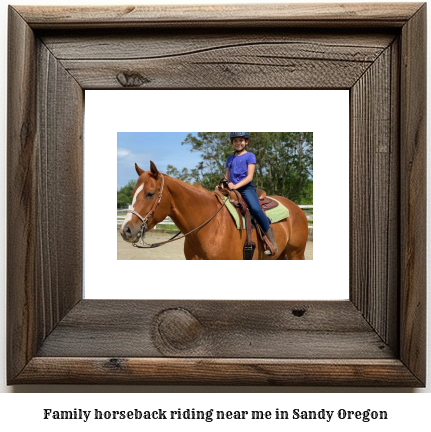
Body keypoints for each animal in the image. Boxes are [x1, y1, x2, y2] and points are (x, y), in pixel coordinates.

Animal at [119, 160, 310, 258]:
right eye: (133, 193)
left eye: (150, 194)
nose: (125, 230)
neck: (210, 227)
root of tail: (297, 208)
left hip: (296, 253)